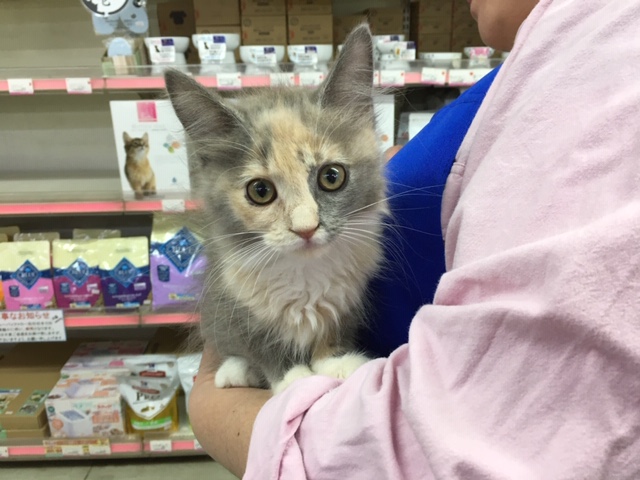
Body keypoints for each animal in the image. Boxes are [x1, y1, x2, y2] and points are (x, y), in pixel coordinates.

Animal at [164, 24, 388, 393]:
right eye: (260, 191)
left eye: (331, 176)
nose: (306, 228)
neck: (304, 273)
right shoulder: (232, 301)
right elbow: (260, 344)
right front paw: (293, 379)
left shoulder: (349, 297)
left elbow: (333, 331)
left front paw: (337, 363)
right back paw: (235, 371)